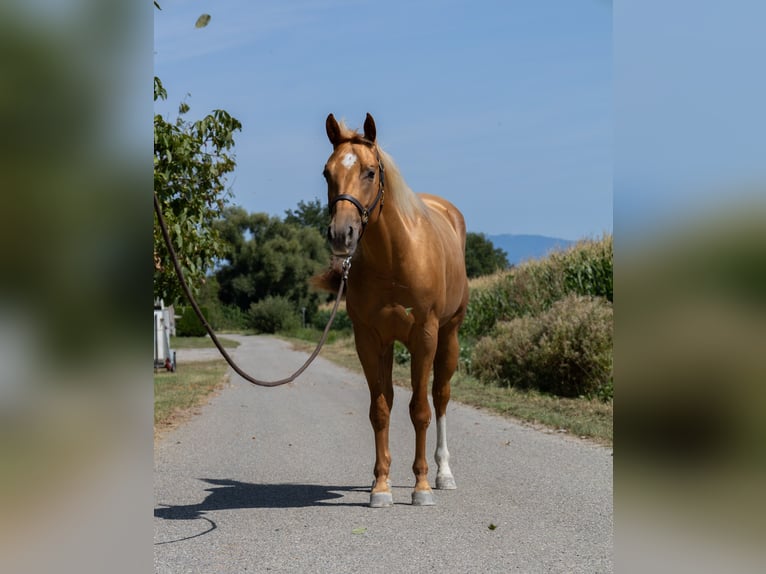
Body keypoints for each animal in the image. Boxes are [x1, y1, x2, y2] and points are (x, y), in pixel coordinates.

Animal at [316, 113, 472, 508]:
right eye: (327, 172)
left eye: (370, 172)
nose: (341, 234)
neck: (394, 258)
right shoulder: (369, 340)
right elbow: (380, 409)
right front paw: (381, 486)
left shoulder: (425, 336)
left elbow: (421, 410)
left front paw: (421, 488)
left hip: (448, 337)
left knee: (440, 397)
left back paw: (443, 474)